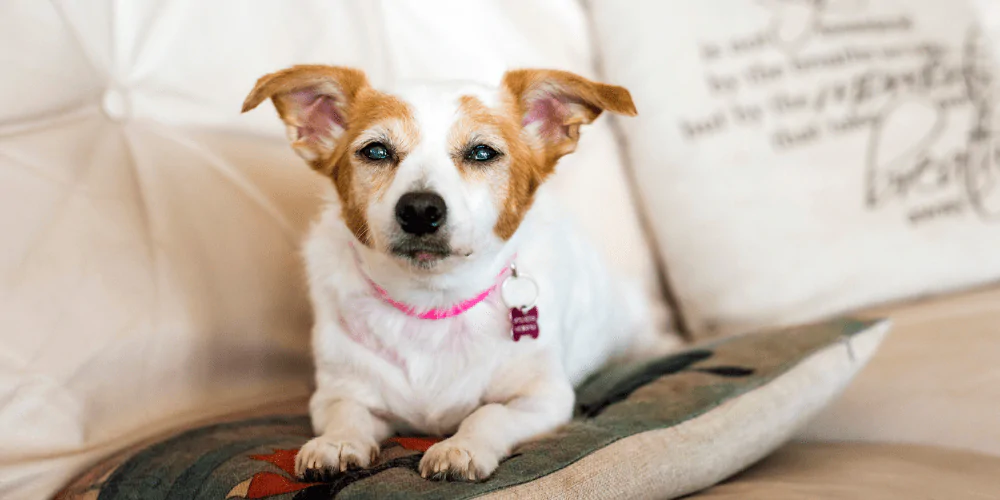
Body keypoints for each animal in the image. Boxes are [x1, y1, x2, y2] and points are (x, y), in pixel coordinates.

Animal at [244, 66, 672, 480]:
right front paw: (336, 443)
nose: (419, 209)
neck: (433, 299)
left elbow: (489, 413)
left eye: (482, 152)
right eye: (376, 151)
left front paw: (459, 448)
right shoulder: (336, 394)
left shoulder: (544, 399)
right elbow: (347, 415)